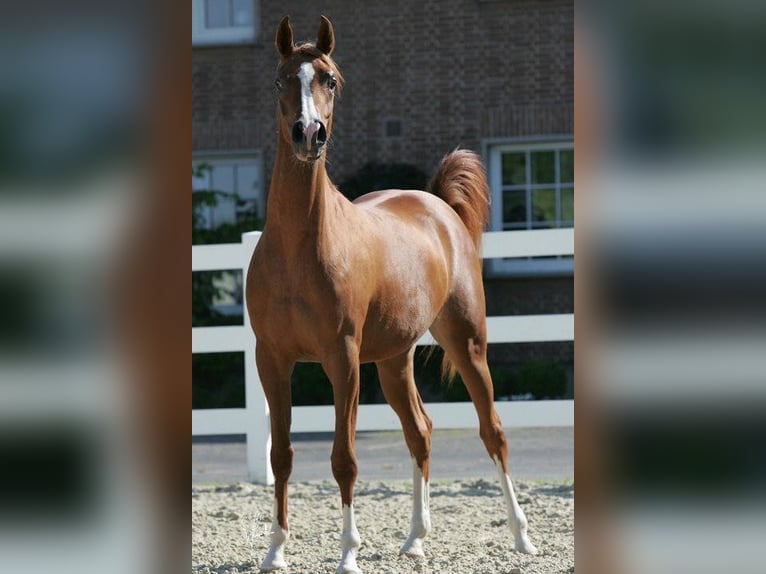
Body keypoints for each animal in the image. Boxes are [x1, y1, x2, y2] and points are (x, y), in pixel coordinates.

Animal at [249, 14, 536, 574]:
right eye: (279, 80)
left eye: (330, 79)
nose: (309, 133)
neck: (298, 250)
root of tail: (439, 206)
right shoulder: (272, 359)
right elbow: (282, 455)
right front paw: (275, 550)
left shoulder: (342, 359)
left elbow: (344, 459)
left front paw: (348, 554)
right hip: (393, 360)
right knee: (420, 431)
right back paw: (416, 539)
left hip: (467, 344)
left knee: (493, 431)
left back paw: (520, 537)